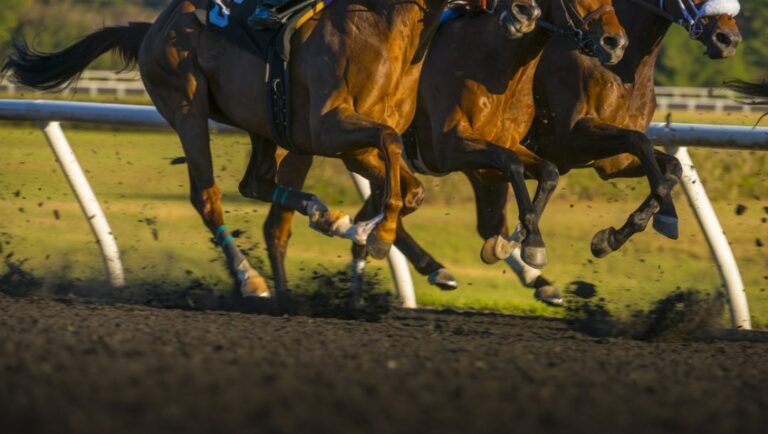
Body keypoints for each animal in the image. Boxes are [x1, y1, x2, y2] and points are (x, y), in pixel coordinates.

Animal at [2, 0, 544, 301]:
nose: (526, 11)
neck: (387, 30)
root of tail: (150, 27)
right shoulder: (331, 129)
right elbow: (394, 156)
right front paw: (377, 234)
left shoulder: (355, 139)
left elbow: (409, 188)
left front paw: (362, 229)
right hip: (187, 106)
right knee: (208, 197)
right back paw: (251, 280)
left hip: (264, 121)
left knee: (257, 183)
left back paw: (327, 218)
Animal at [262, 0, 628, 300]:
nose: (616, 42)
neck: (496, 58)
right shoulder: (451, 148)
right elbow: (509, 167)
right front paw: (527, 245)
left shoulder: (498, 152)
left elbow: (545, 173)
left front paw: (521, 243)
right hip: (311, 145)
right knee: (279, 225)